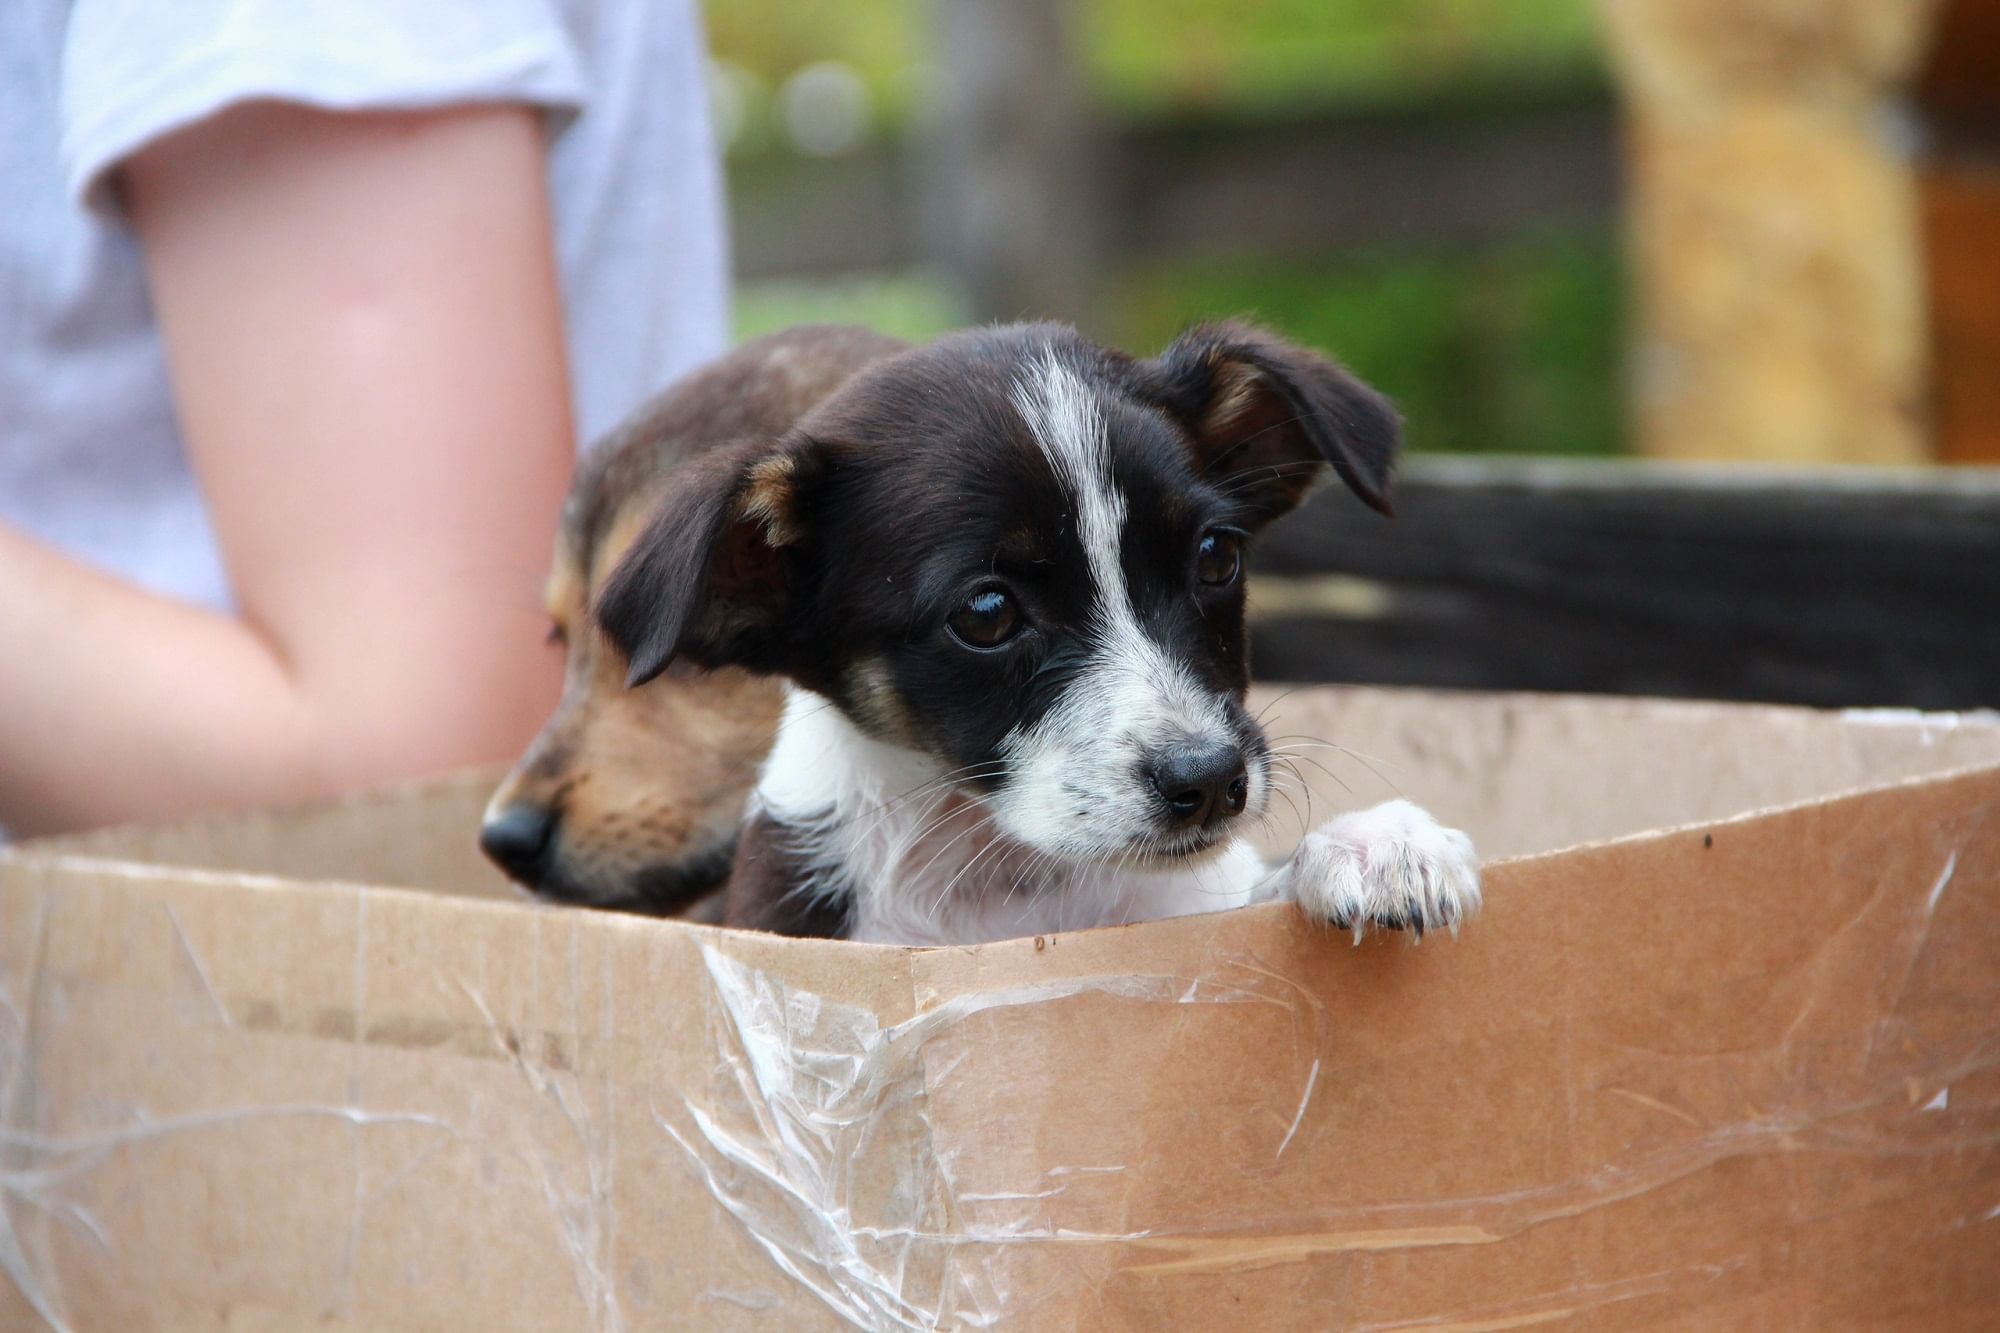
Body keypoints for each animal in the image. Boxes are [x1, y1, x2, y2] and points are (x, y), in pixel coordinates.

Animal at [584, 320, 1480, 944]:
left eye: (1216, 556)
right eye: (986, 613)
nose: (1209, 781)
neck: (1016, 886)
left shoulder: (1195, 903)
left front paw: (1373, 842)